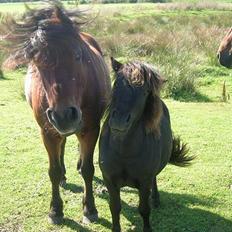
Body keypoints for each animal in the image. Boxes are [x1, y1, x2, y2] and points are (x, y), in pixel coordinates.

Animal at [0, 0, 110, 224]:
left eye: (78, 55)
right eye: (36, 63)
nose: (64, 116)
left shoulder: (91, 129)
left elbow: (88, 169)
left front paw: (90, 209)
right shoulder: (48, 132)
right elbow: (53, 171)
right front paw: (55, 210)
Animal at [99, 58, 193, 232]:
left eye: (145, 91)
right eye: (117, 84)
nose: (119, 121)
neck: (124, 151)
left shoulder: (144, 182)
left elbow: (144, 209)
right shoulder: (109, 180)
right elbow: (114, 207)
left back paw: (156, 199)